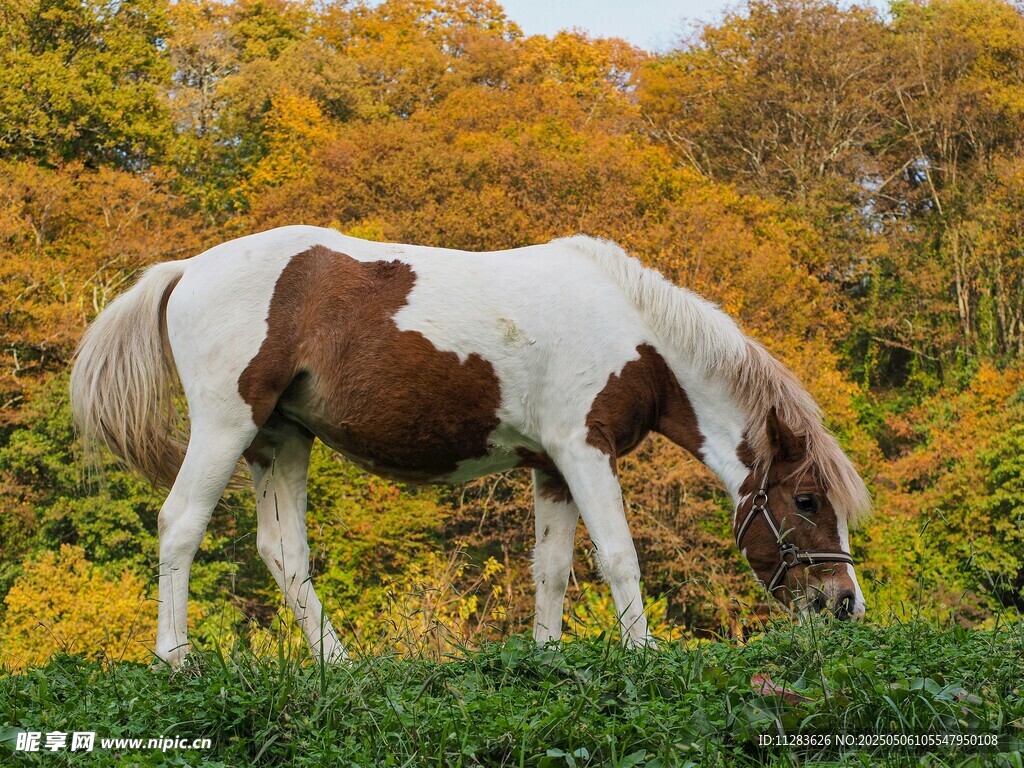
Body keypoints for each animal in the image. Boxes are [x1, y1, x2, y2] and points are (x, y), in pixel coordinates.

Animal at [70, 225, 871, 667]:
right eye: (806, 500)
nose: (844, 605)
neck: (636, 333)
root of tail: (186, 269)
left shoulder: (554, 467)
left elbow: (552, 570)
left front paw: (546, 658)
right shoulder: (585, 452)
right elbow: (619, 557)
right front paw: (643, 657)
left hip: (281, 441)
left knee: (284, 554)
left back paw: (342, 667)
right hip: (225, 428)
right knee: (179, 526)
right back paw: (174, 661)